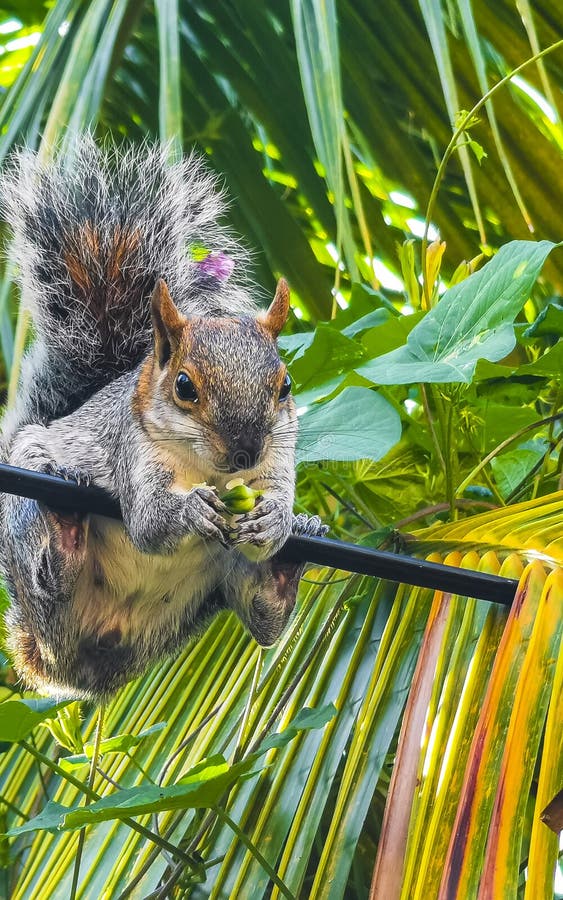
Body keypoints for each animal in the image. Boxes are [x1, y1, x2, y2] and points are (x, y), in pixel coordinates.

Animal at [0, 136, 326, 699]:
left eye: (285, 386)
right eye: (184, 387)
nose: (246, 451)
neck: (210, 470)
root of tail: (71, 666)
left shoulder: (277, 460)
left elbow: (274, 502)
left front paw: (281, 520)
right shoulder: (135, 451)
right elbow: (150, 520)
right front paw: (189, 510)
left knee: (262, 616)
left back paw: (286, 567)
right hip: (24, 517)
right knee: (48, 576)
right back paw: (62, 529)